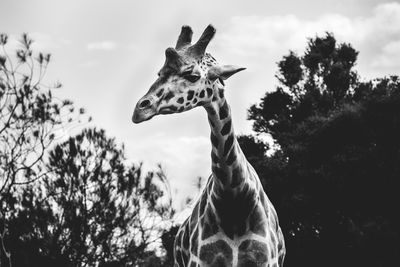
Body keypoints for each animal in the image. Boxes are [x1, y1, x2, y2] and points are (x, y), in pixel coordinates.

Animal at [133, 24, 286, 266]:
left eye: (193, 75)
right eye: (159, 73)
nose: (139, 110)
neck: (234, 198)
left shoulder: (267, 261)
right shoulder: (200, 261)